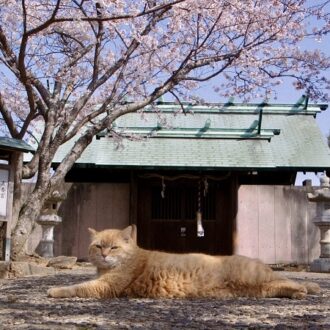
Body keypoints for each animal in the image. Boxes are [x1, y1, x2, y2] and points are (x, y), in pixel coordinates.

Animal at [47, 227, 320, 300]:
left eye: (113, 247)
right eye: (98, 246)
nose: (104, 254)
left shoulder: (105, 286)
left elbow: (78, 287)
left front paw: (54, 290)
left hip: (256, 278)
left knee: (289, 279)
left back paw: (308, 289)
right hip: (260, 289)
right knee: (283, 283)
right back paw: (305, 291)